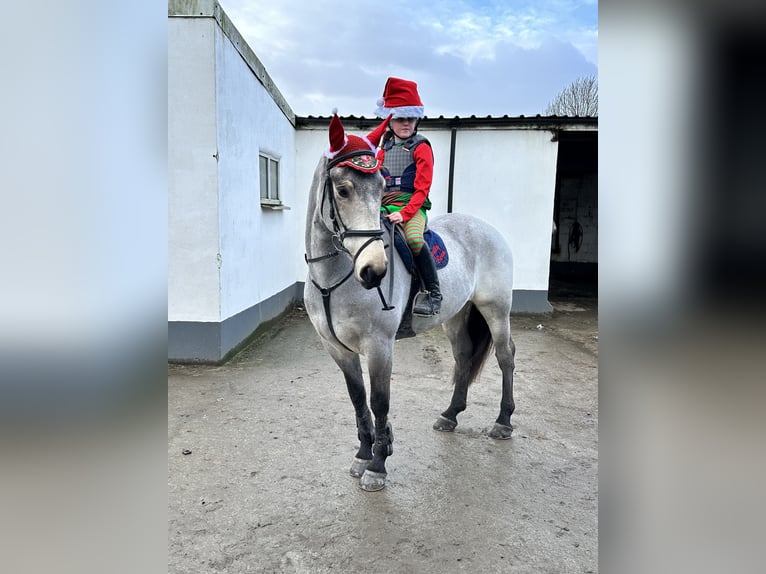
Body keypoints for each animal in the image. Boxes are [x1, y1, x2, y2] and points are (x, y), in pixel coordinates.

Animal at [304, 114, 516, 491]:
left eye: (379, 187)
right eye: (343, 190)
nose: (374, 271)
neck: (333, 279)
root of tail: (489, 229)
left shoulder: (379, 345)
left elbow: (379, 401)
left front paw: (377, 465)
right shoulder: (337, 348)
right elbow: (358, 398)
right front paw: (363, 454)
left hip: (495, 309)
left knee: (506, 356)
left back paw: (503, 421)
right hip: (456, 315)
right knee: (463, 356)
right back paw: (450, 415)